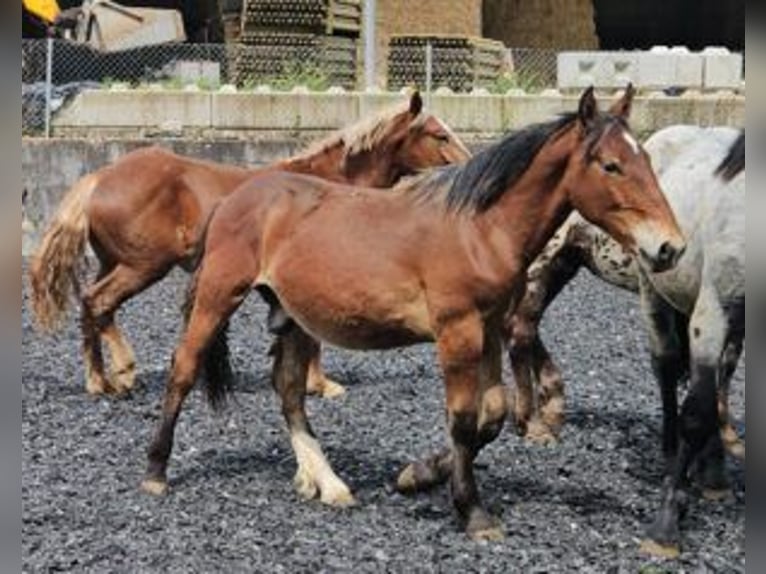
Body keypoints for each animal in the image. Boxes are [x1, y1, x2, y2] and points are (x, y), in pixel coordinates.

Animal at [27, 95, 472, 400]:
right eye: (440, 134)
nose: (468, 165)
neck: (331, 184)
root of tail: (100, 178)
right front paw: (322, 385)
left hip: (114, 262)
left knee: (90, 305)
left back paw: (98, 381)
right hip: (143, 266)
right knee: (100, 303)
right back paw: (124, 371)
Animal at [141, 86, 688, 544]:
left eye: (645, 160)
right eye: (611, 165)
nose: (669, 247)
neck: (479, 229)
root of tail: (235, 197)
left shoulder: (489, 329)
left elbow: (493, 414)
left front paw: (418, 474)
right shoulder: (457, 332)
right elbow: (464, 420)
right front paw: (472, 511)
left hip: (294, 317)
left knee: (290, 392)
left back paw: (327, 482)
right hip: (218, 295)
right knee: (184, 368)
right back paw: (156, 472)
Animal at [508, 127, 748, 560]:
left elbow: (719, 380)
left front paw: (715, 467)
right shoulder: (713, 307)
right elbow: (697, 409)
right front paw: (668, 521)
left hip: (571, 265)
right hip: (571, 268)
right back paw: (538, 422)